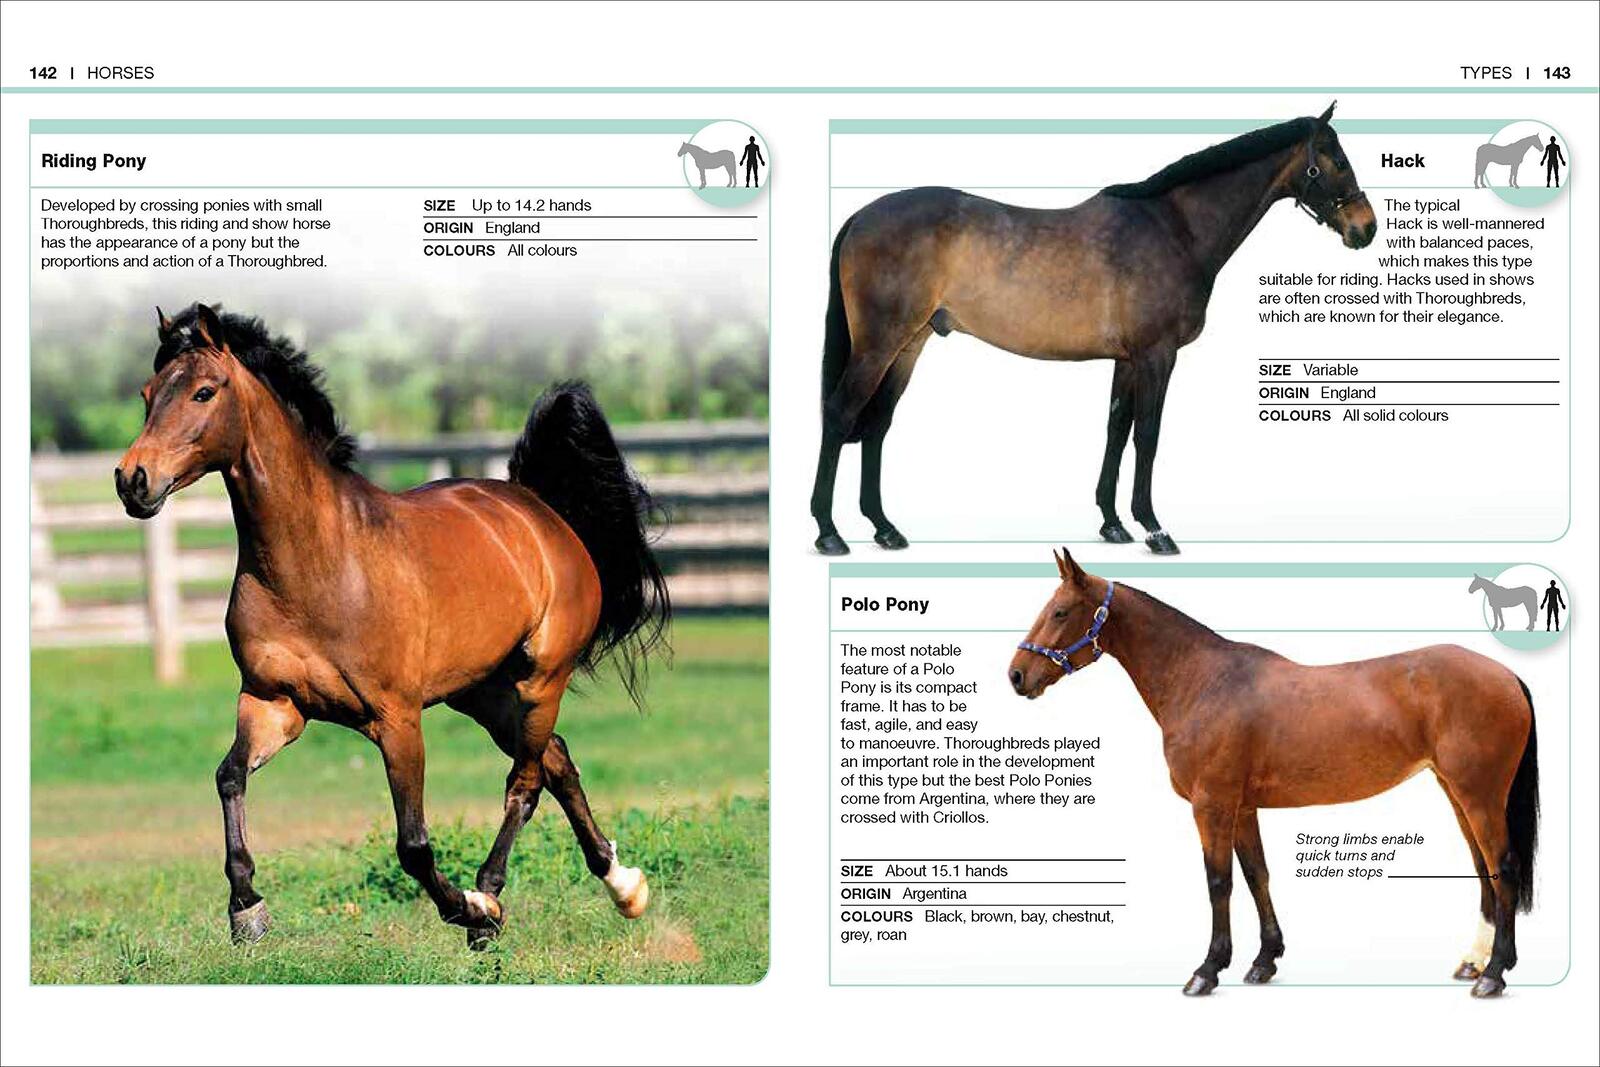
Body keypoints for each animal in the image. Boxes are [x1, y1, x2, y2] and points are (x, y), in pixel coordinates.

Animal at [114, 303, 670, 948]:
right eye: (147, 393)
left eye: (204, 391)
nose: (133, 479)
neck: (318, 564)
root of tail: (539, 511)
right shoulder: (273, 703)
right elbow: (229, 778)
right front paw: (247, 909)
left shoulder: (397, 720)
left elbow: (413, 844)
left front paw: (466, 911)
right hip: (482, 693)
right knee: (556, 760)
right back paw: (623, 885)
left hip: (540, 681)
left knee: (526, 783)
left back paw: (490, 898)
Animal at [811, 104, 1376, 557]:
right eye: (1336, 160)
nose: (1366, 228)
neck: (1175, 229)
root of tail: (861, 216)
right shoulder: (1157, 355)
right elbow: (1148, 433)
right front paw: (1154, 528)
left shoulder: (1126, 360)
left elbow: (1116, 429)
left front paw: (1112, 524)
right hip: (880, 344)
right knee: (841, 414)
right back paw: (829, 532)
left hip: (910, 344)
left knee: (878, 424)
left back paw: (885, 529)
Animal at [1009, 549, 1538, 998]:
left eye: (1060, 612)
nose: (1016, 675)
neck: (1202, 681)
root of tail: (1505, 675)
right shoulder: (1242, 808)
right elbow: (1256, 875)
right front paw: (1264, 960)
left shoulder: (1212, 805)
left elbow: (1218, 882)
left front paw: (1207, 970)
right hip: (1457, 792)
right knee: (1484, 869)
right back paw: (1475, 961)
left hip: (1480, 795)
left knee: (1505, 867)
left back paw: (1493, 974)